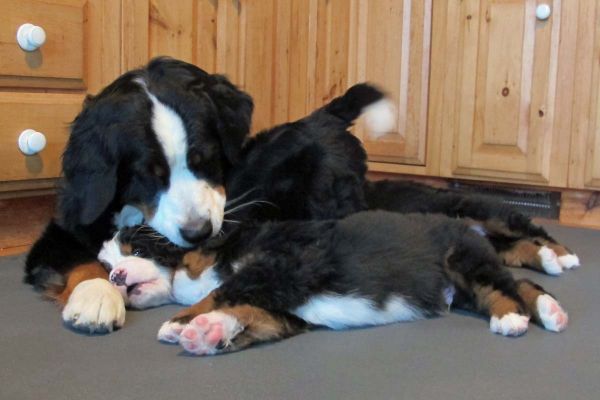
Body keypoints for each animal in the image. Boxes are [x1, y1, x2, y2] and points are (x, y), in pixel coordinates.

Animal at [97, 212, 568, 356]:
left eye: (136, 249)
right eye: (105, 265)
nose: (116, 278)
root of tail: (466, 226)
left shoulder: (286, 262)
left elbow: (224, 290)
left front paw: (181, 321)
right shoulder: (286, 306)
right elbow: (252, 315)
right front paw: (209, 331)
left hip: (460, 259)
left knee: (504, 288)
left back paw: (512, 318)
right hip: (466, 280)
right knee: (518, 283)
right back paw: (549, 311)